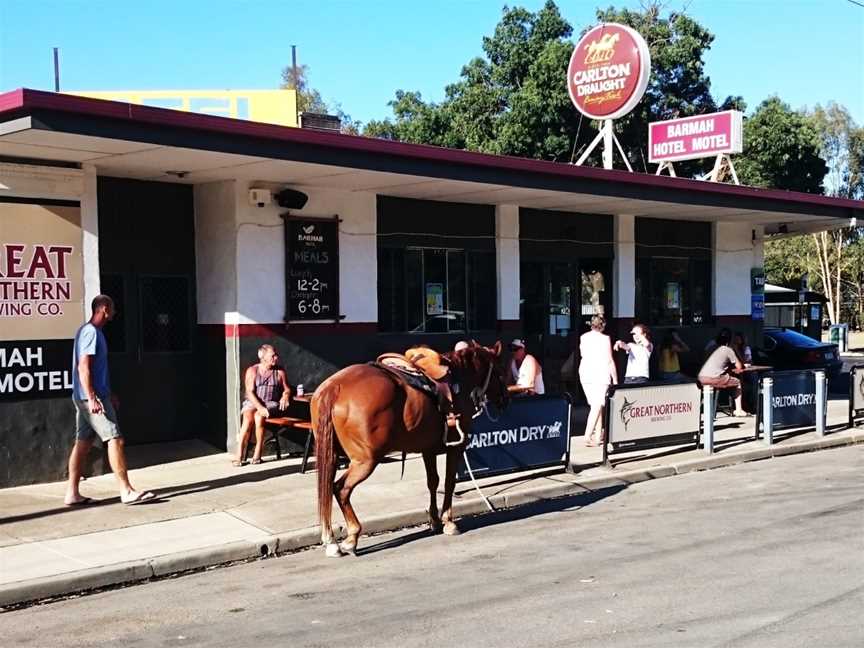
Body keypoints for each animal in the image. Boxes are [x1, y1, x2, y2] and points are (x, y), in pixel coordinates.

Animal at [312, 340, 506, 556]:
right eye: (501, 371)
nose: (506, 399)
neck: (460, 381)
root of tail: (334, 387)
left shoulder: (428, 450)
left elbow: (433, 482)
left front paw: (435, 520)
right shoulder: (455, 448)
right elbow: (449, 483)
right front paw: (448, 522)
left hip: (331, 454)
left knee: (327, 490)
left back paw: (331, 541)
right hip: (365, 461)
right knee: (341, 489)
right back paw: (352, 537)